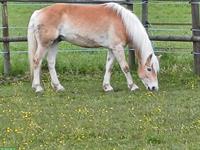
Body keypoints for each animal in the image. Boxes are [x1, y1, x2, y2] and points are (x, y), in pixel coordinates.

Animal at [27, 2, 159, 92]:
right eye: (149, 69)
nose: (154, 87)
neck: (123, 22)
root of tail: (38, 12)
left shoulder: (112, 49)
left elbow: (109, 67)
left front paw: (107, 87)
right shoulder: (118, 48)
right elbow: (125, 67)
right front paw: (133, 86)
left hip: (54, 42)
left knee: (51, 63)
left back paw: (58, 86)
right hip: (45, 44)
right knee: (37, 61)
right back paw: (38, 87)